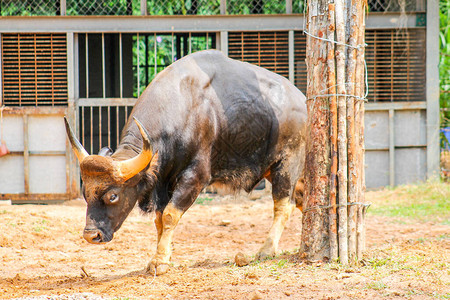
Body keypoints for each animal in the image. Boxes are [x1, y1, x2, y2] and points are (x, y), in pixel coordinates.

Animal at [65, 49, 308, 274]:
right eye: (85, 193)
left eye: (113, 196)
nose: (91, 235)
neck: (184, 107)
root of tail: (303, 102)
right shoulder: (163, 180)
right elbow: (159, 220)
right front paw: (164, 255)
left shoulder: (196, 177)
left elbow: (170, 215)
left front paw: (160, 261)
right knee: (302, 199)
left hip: (287, 164)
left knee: (283, 205)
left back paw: (267, 249)